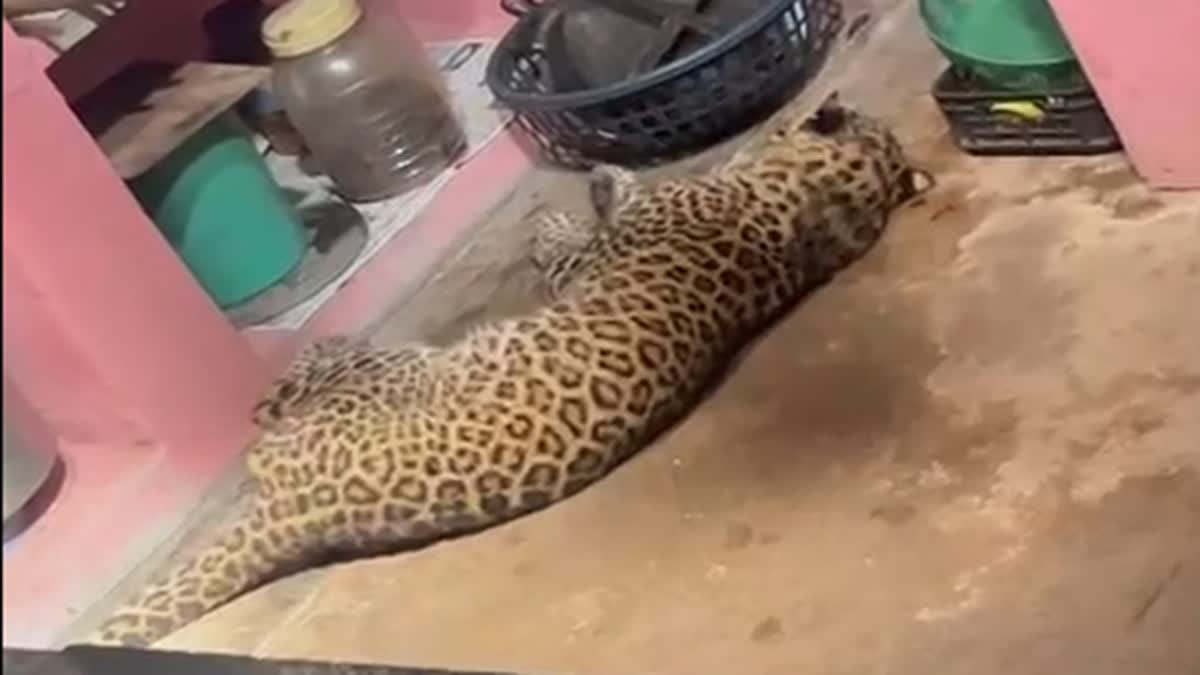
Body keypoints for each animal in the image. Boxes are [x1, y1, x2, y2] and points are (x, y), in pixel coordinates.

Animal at [88, 95, 931, 647]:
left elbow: (576, 233)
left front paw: (572, 200)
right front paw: (596, 178)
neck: (814, 210)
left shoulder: (597, 254)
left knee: (301, 389)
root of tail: (299, 513)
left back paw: (286, 376)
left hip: (380, 373)